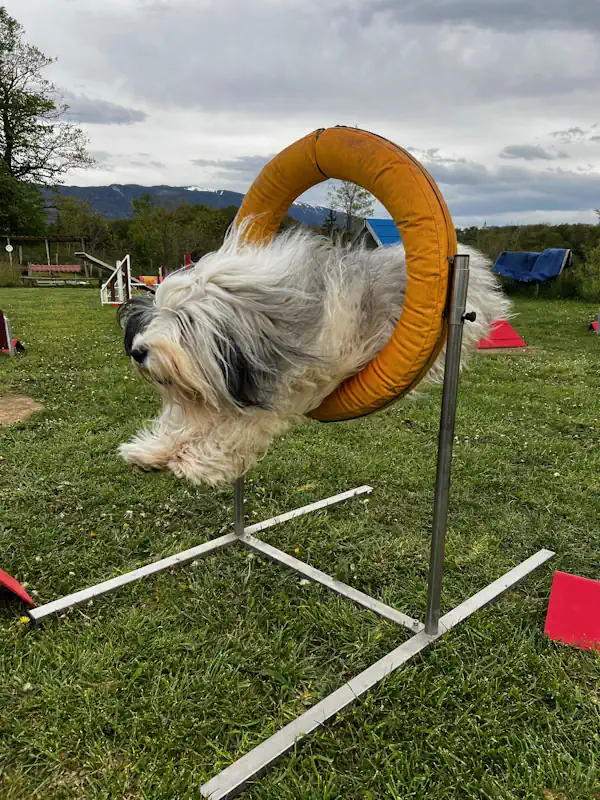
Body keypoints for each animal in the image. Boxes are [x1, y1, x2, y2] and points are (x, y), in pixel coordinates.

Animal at [118, 227, 510, 488]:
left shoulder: (284, 388)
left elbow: (235, 428)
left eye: (185, 322)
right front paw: (150, 452)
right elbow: (184, 422)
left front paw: (194, 462)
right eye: (158, 314)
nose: (138, 350)